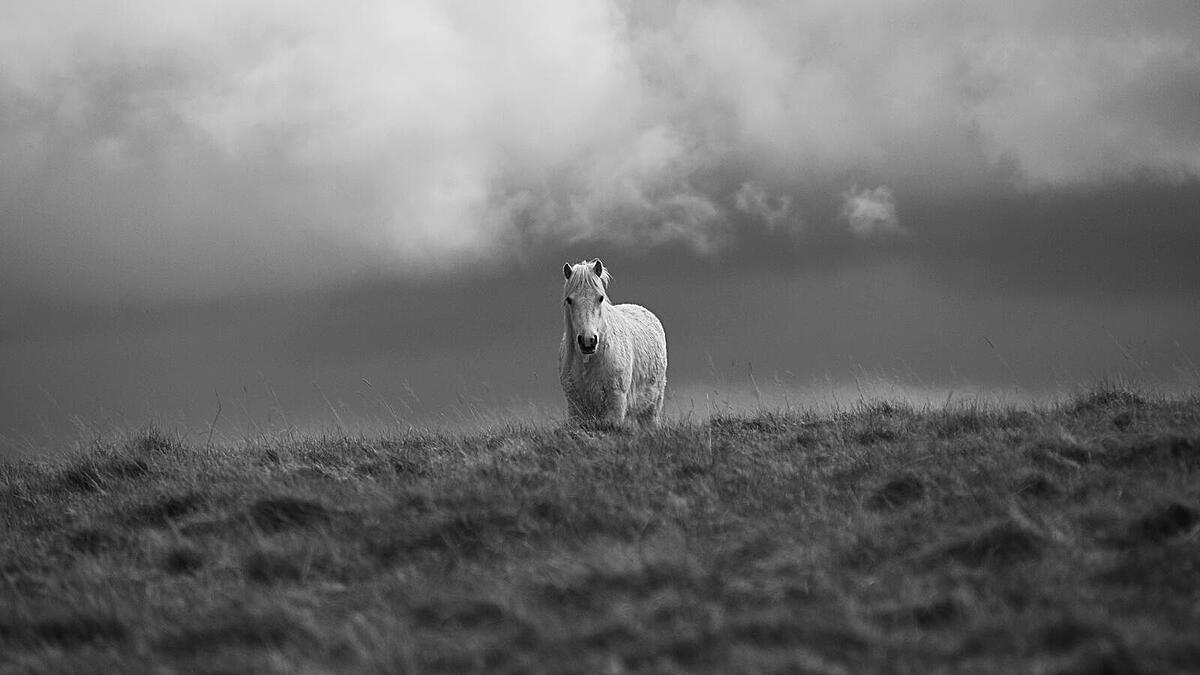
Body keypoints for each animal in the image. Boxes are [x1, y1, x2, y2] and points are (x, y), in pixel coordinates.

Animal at [559, 259, 667, 427]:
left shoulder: (615, 405)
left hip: (652, 409)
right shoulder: (575, 409)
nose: (588, 341)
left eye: (600, 298)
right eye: (569, 300)